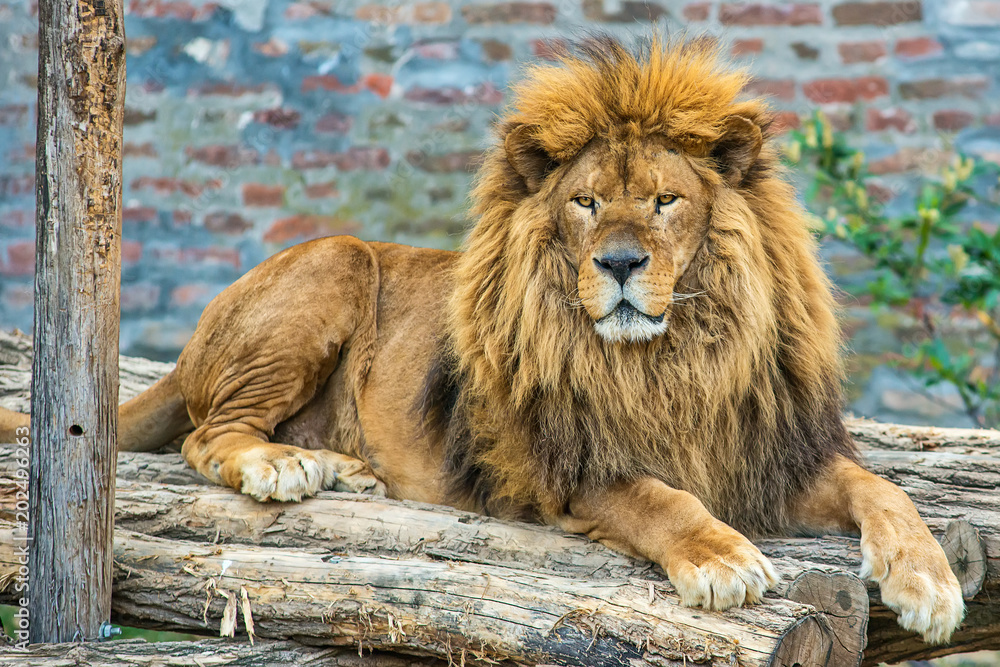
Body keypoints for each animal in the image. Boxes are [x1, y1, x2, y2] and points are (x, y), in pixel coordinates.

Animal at [0, 37, 963, 644]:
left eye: (663, 201)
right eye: (584, 203)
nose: (619, 262)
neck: (671, 358)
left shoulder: (769, 451)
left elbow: (884, 489)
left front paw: (929, 583)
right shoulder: (563, 465)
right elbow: (660, 498)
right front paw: (723, 558)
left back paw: (343, 466)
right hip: (334, 263)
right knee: (208, 432)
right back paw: (287, 465)